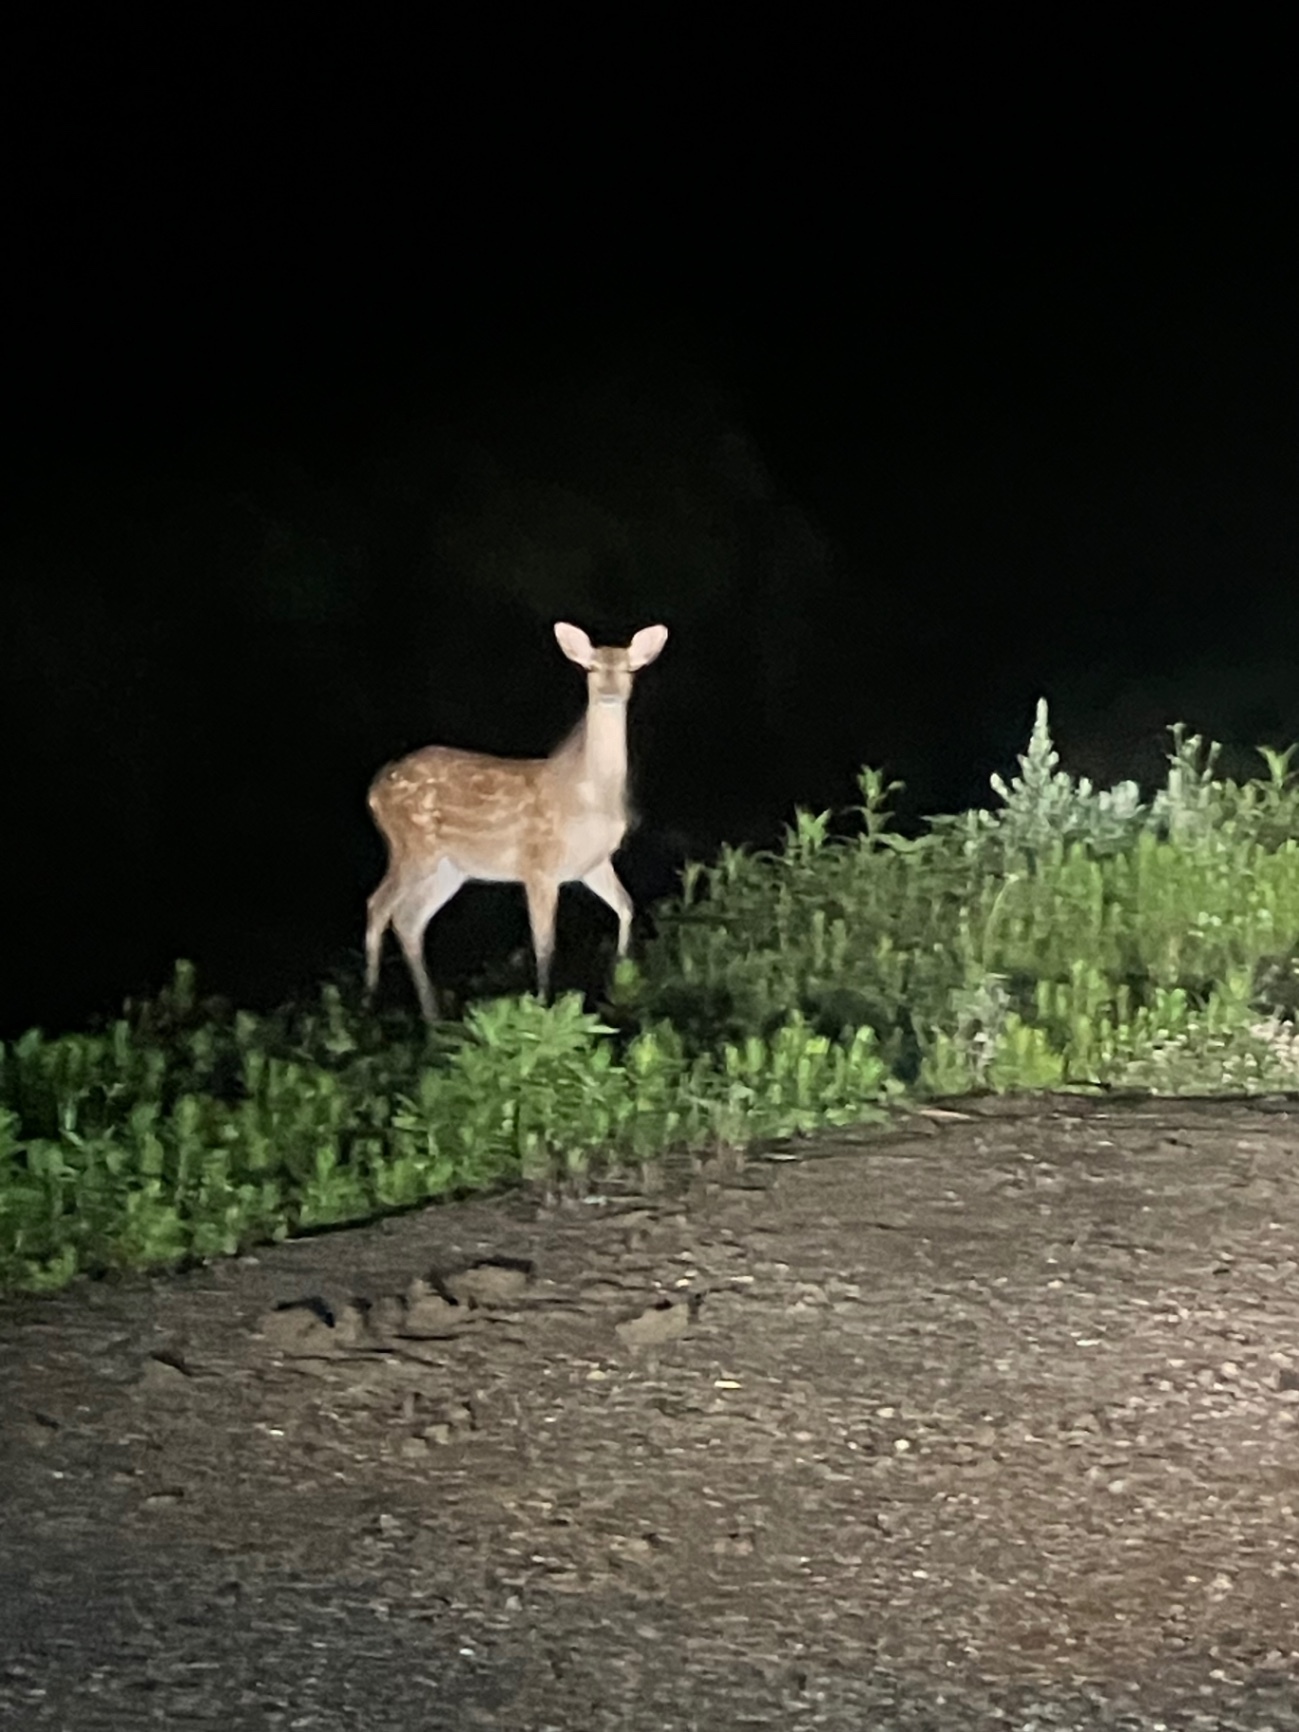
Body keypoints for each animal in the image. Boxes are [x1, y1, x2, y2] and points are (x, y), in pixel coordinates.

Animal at [364, 621, 669, 1021]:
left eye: (629, 669)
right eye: (590, 668)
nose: (609, 692)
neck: (588, 794)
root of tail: (373, 792)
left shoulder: (593, 864)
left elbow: (626, 907)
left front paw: (621, 979)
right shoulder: (538, 864)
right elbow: (544, 942)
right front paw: (543, 1005)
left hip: (449, 868)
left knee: (408, 919)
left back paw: (432, 1016)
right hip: (412, 848)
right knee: (379, 905)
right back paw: (368, 1004)